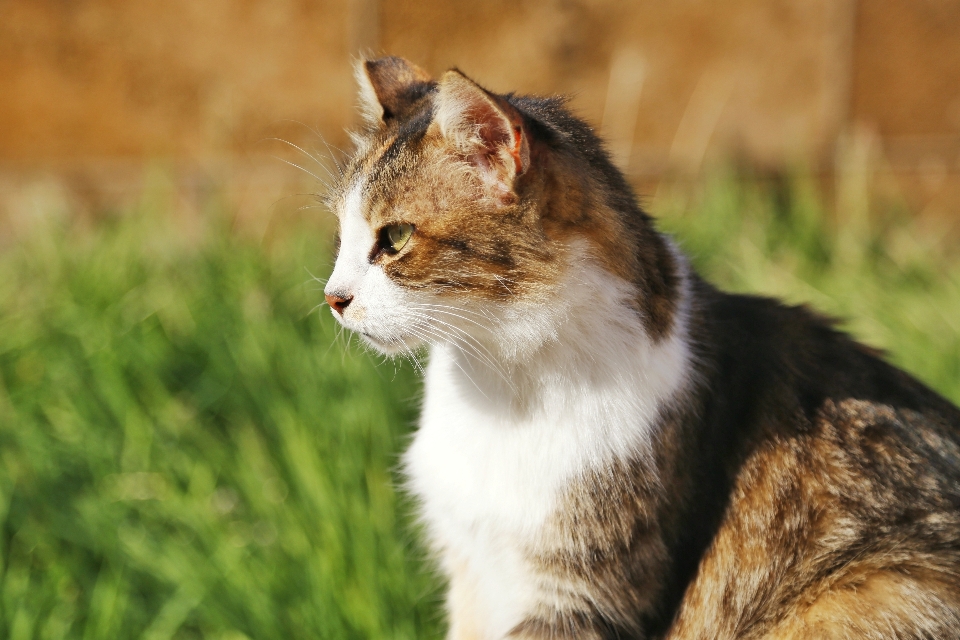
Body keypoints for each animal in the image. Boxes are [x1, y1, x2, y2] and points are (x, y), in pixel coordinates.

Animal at [322, 57, 960, 636]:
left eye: (395, 237)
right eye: (341, 235)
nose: (332, 297)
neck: (499, 386)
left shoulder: (582, 593)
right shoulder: (471, 570)